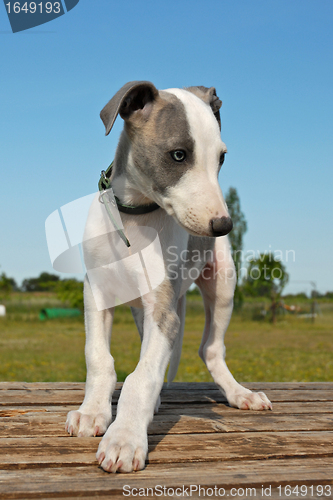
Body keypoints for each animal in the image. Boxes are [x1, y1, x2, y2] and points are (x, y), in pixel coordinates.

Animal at [64, 81, 270, 472]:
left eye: (221, 158)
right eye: (178, 155)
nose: (224, 225)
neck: (135, 217)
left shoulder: (163, 309)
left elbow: (141, 376)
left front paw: (125, 439)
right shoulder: (97, 293)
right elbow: (98, 357)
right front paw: (91, 412)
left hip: (223, 284)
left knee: (210, 349)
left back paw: (240, 394)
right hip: (144, 309)